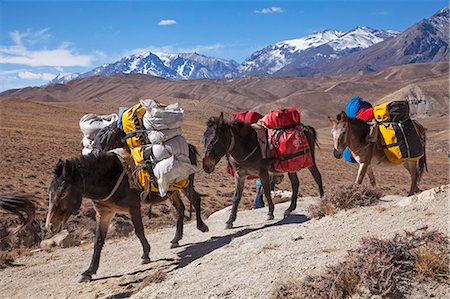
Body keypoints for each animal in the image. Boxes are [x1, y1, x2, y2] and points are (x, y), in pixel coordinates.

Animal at [45, 146, 207, 284]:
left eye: (63, 193)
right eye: (49, 192)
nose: (50, 226)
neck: (107, 179)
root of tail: (190, 147)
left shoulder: (133, 207)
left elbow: (139, 231)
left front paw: (145, 255)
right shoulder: (104, 213)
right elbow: (98, 241)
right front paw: (88, 272)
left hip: (185, 184)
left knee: (196, 199)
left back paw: (202, 226)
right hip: (171, 191)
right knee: (181, 208)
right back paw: (175, 239)